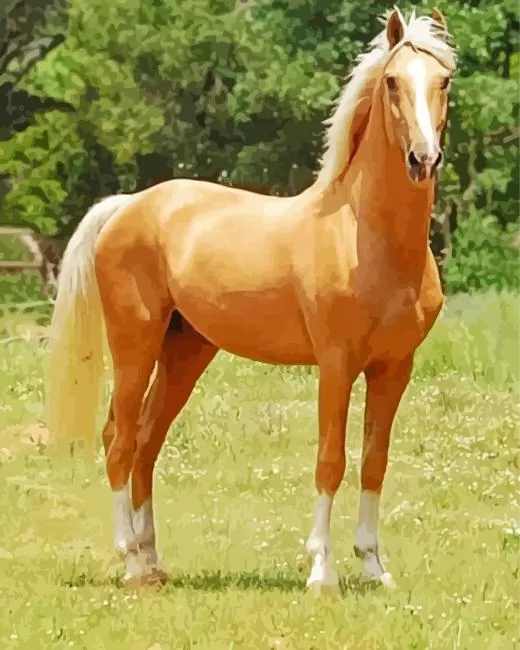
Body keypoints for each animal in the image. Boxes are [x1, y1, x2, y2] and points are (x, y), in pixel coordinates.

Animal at [46, 8, 457, 592]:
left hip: (186, 352)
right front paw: (321, 572)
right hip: (134, 347)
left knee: (147, 443)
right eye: (393, 82)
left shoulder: (394, 368)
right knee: (119, 439)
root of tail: (128, 205)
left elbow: (374, 462)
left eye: (443, 82)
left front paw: (375, 568)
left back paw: (154, 560)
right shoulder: (336, 365)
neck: (362, 235)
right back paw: (131, 564)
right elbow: (330, 460)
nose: (423, 159)